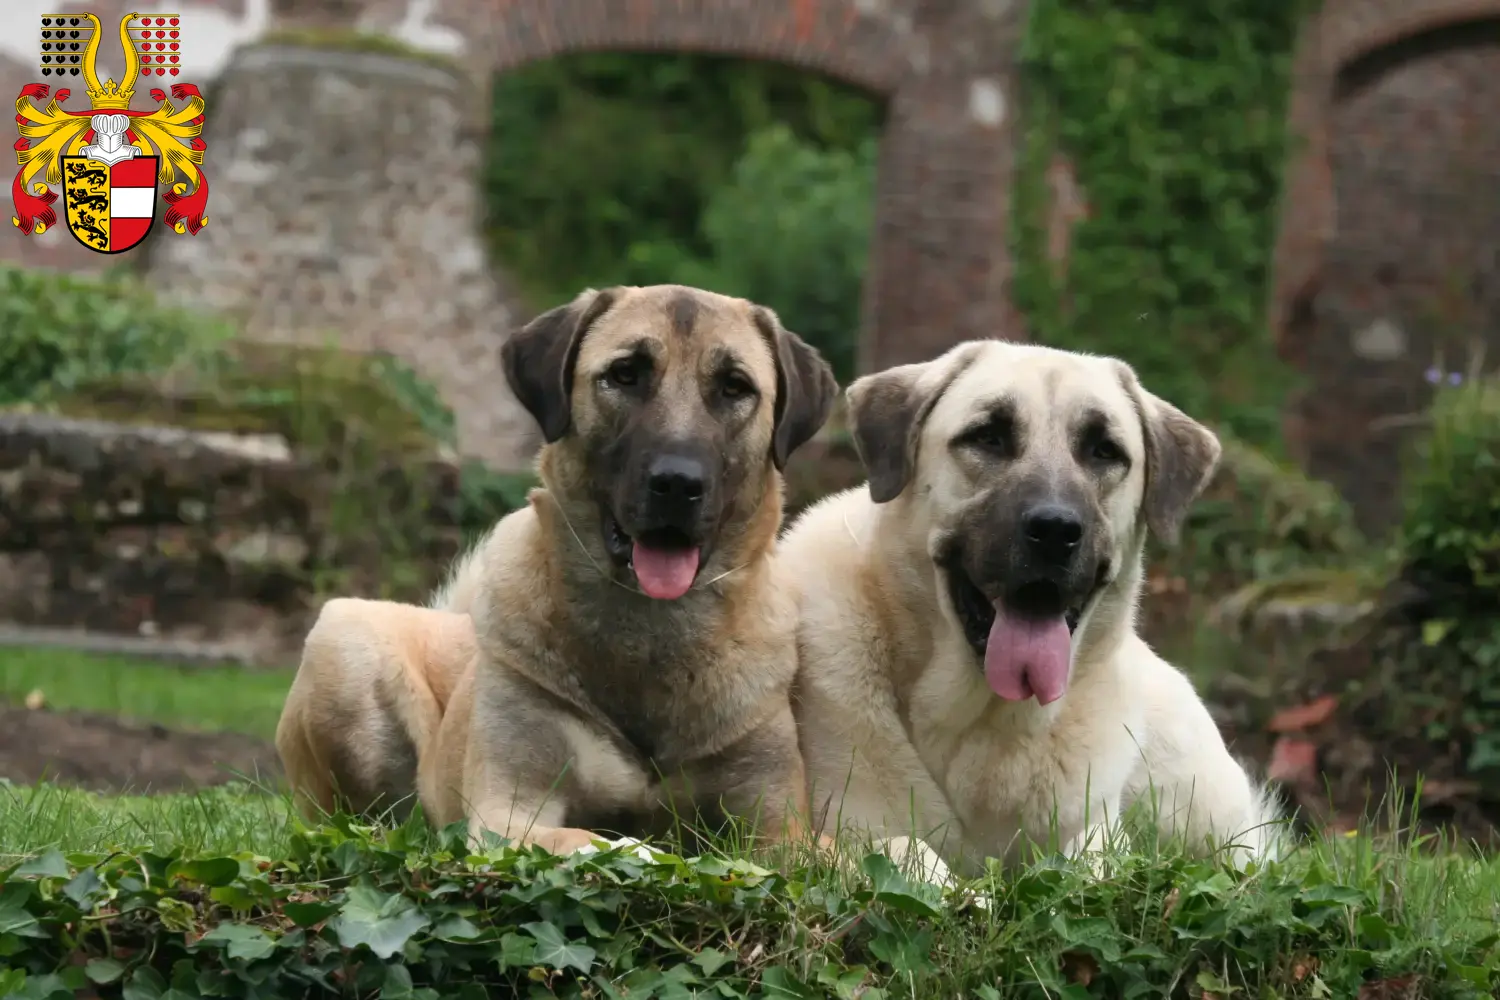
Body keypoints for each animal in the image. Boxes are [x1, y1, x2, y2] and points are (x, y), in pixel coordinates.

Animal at [276, 284, 840, 857]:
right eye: (625, 373)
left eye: (734, 386)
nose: (678, 484)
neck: (652, 632)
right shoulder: (510, 813)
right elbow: (601, 840)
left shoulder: (780, 826)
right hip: (345, 639)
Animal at [780, 340, 1284, 881]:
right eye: (988, 437)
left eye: (1105, 450)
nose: (1056, 530)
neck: (983, 721)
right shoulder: (843, 826)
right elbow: (905, 848)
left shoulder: (1096, 828)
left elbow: (1089, 861)